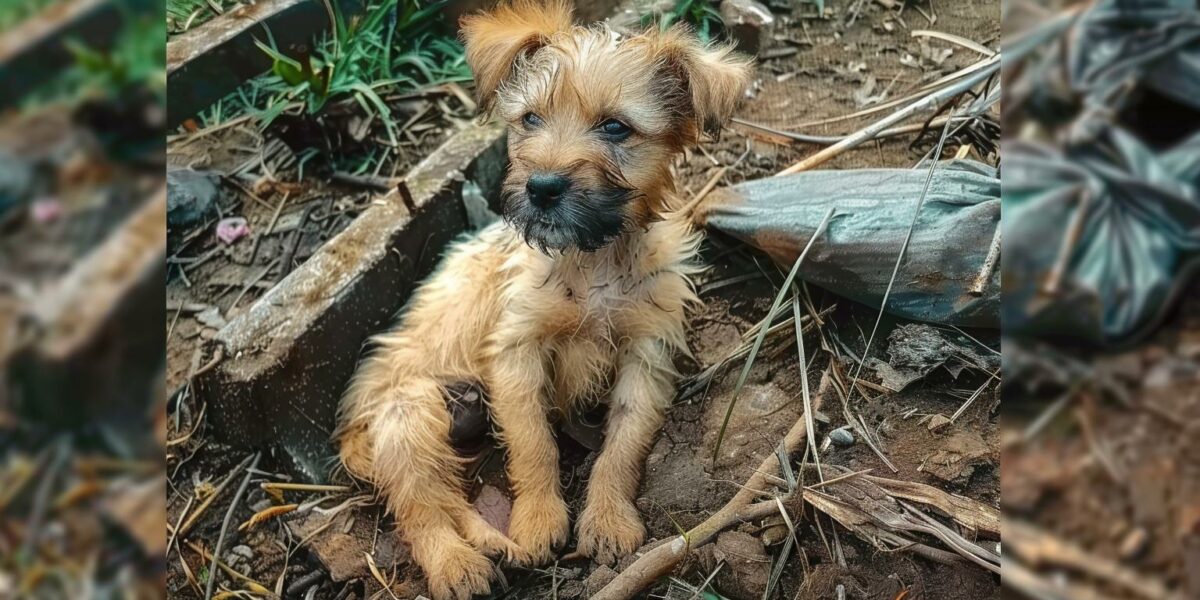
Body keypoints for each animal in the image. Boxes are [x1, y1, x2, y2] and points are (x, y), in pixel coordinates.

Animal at [336, 2, 748, 597]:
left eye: (615, 126)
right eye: (530, 119)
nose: (543, 187)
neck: (592, 258)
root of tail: (354, 422)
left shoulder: (647, 353)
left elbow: (622, 445)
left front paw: (606, 519)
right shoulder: (516, 350)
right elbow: (533, 443)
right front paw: (536, 522)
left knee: (445, 497)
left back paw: (486, 546)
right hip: (409, 414)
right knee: (423, 506)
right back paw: (458, 564)